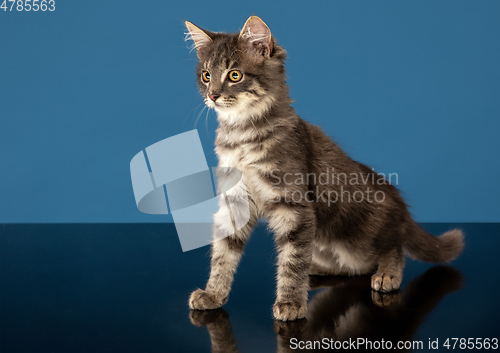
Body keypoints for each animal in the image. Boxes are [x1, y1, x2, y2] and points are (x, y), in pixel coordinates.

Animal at [184, 15, 464, 320]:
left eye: (235, 75)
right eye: (206, 76)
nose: (212, 95)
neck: (241, 135)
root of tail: (399, 206)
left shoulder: (294, 206)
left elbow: (292, 259)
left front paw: (291, 303)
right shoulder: (234, 202)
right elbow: (224, 254)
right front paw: (213, 294)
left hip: (359, 235)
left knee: (391, 246)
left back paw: (387, 274)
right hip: (324, 241)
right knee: (350, 265)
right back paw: (316, 270)